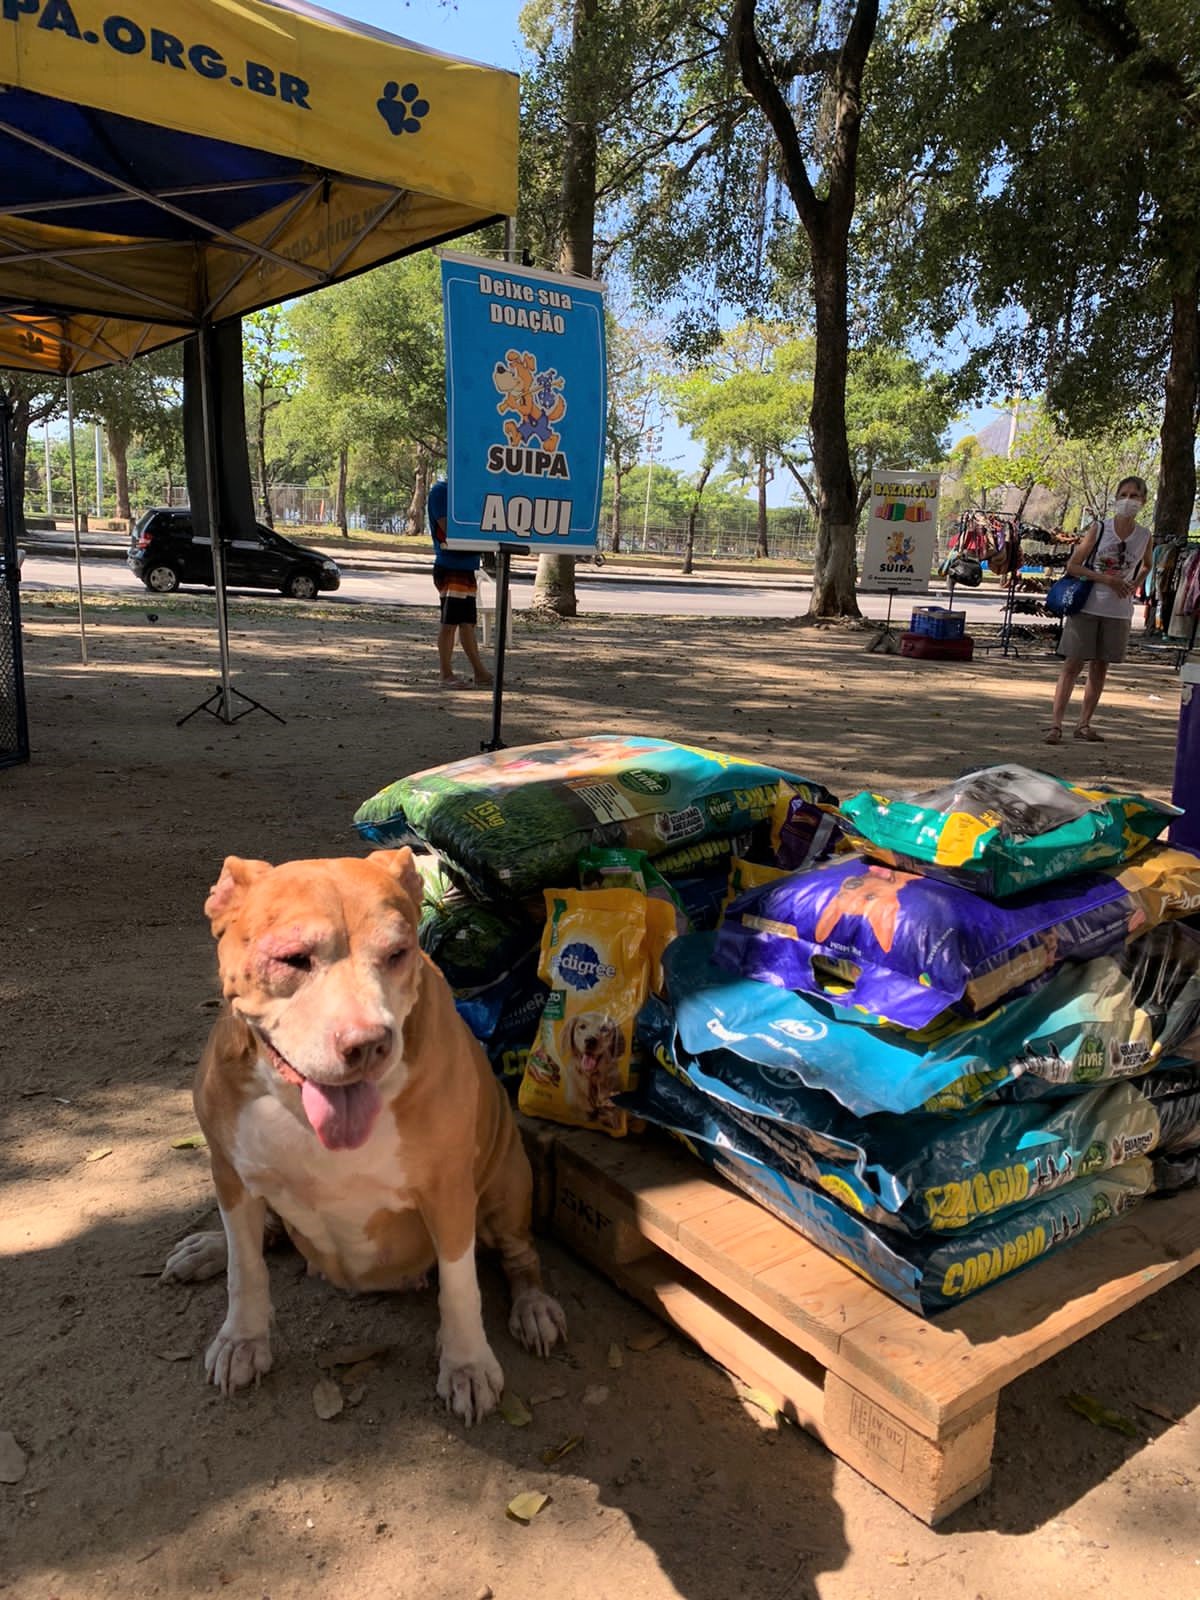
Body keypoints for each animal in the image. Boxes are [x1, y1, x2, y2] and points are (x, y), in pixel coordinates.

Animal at [160, 848, 565, 1424]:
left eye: (397, 953)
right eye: (292, 959)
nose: (368, 1043)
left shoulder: (448, 1193)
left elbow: (460, 1285)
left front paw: (466, 1363)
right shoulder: (229, 1171)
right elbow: (247, 1268)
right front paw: (243, 1339)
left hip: (508, 1181)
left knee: (520, 1254)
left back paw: (533, 1308)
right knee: (264, 1235)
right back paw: (207, 1248)